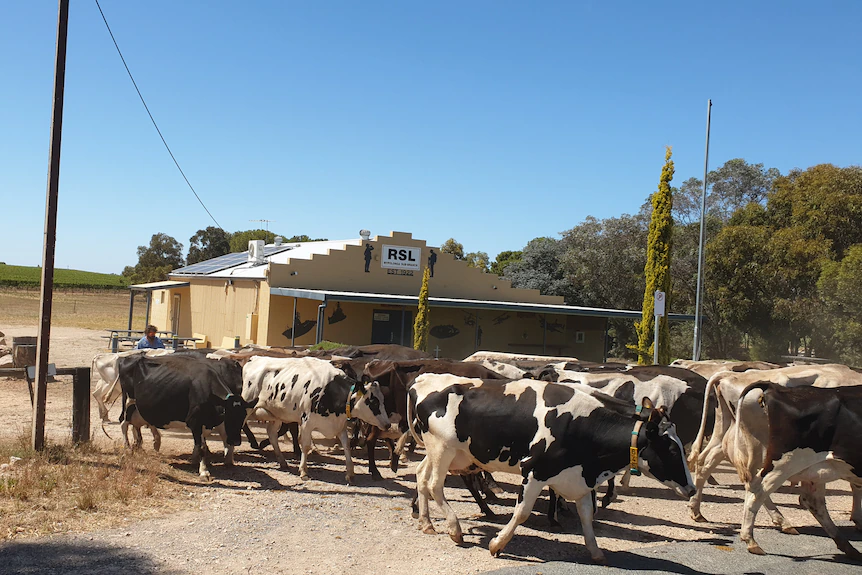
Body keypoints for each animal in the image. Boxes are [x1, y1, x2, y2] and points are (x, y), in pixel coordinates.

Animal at [120, 354, 258, 480]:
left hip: (139, 406)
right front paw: (204, 471)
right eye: (227, 414)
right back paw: (127, 447)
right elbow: (201, 446)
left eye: (243, 416)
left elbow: (210, 442)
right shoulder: (194, 421)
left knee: (137, 423)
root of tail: (129, 357)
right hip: (128, 400)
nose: (236, 441)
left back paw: (146, 444)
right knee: (123, 422)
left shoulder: (212, 422)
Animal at [243, 358, 392, 484]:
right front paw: (303, 471)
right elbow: (306, 446)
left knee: (272, 434)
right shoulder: (306, 423)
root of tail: (254, 358)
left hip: (277, 415)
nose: (388, 424)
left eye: (383, 400)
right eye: (373, 402)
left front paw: (350, 473)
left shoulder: (339, 425)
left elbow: (346, 446)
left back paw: (282, 461)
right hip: (247, 408)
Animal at [408, 374, 700, 564]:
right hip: (443, 449)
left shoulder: (580, 478)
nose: (691, 488)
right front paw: (497, 544)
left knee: (421, 476)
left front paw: (596, 552)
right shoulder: (534, 470)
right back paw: (454, 529)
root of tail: (424, 380)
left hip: (447, 454)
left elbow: (587, 516)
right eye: (671, 449)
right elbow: (522, 512)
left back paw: (426, 522)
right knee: (434, 485)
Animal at [736, 382, 862, 560]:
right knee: (757, 491)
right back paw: (751, 540)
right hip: (785, 462)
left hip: (812, 470)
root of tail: (776, 388)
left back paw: (847, 546)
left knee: (813, 502)